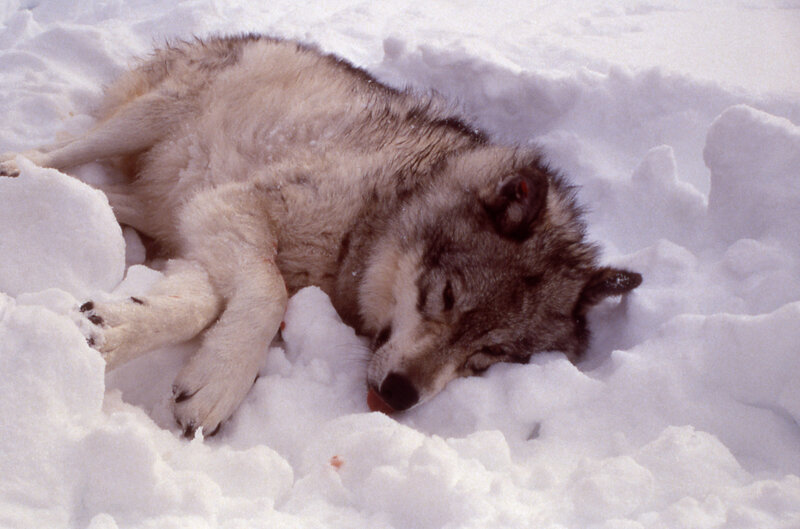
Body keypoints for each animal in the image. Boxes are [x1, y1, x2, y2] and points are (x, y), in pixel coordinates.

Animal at [0, 34, 641, 436]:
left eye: (489, 356)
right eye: (445, 297)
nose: (402, 395)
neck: (380, 212)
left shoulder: (203, 227)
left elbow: (202, 306)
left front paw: (121, 329)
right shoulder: (234, 207)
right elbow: (268, 295)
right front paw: (221, 385)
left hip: (159, 200)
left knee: (105, 192)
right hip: (147, 119)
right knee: (64, 152)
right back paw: (17, 169)